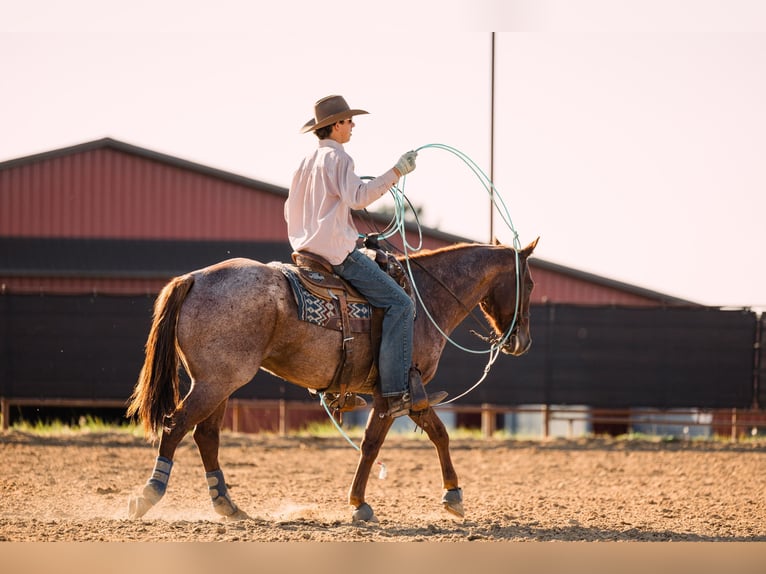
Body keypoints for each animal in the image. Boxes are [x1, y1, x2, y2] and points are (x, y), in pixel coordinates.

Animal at [126, 236, 536, 524]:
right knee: (176, 425)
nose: (522, 341)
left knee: (206, 436)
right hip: (215, 383)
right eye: (529, 284)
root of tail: (193, 279)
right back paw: (149, 495)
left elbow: (431, 434)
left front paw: (449, 495)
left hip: (220, 383)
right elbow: (378, 444)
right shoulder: (396, 392)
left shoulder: (404, 394)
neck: (424, 298)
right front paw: (364, 504)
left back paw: (228, 505)